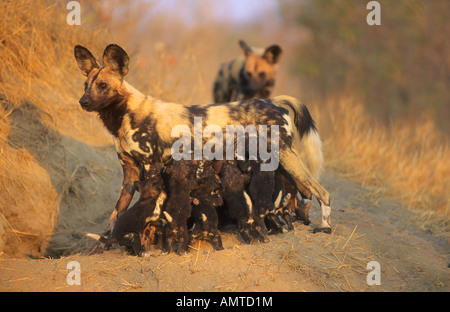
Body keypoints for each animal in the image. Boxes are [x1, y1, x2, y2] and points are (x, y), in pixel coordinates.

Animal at [74, 44, 332, 239]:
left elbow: (146, 209)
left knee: (321, 192)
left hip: (286, 156)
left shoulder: (150, 167)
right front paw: (106, 242)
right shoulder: (130, 173)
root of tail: (273, 101)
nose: (82, 102)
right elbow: (116, 213)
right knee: (303, 193)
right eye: (85, 86)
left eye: (103, 86)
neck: (125, 113)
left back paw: (325, 226)